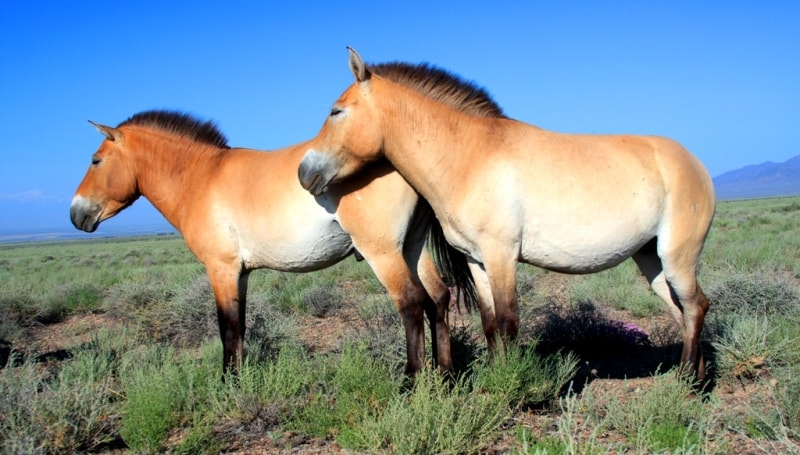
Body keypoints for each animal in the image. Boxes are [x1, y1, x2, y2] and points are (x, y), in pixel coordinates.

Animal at [72, 64, 504, 378]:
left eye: (95, 160)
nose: (77, 214)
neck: (202, 176)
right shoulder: (240, 273)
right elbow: (241, 325)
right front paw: (240, 378)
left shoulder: (220, 269)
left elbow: (227, 327)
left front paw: (227, 383)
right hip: (411, 248)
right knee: (438, 298)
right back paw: (445, 376)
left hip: (382, 252)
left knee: (412, 304)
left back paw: (412, 381)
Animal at [300, 48, 720, 382]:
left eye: (336, 111)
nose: (305, 173)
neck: (468, 157)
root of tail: (694, 162)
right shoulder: (477, 260)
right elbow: (490, 324)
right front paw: (494, 382)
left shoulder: (502, 255)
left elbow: (508, 321)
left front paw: (513, 386)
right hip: (651, 259)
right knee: (682, 311)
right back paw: (695, 377)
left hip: (677, 256)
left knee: (696, 306)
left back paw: (689, 384)